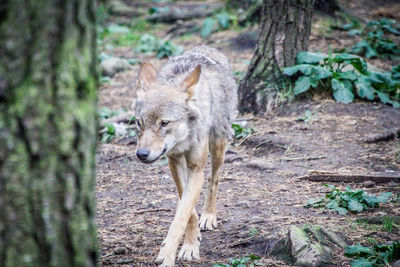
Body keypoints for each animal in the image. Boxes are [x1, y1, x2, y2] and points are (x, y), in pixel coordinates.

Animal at [133, 45, 239, 266]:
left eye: (164, 123)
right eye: (139, 122)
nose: (142, 154)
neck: (183, 139)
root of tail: (208, 47)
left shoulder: (196, 169)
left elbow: (181, 217)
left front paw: (170, 254)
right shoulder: (174, 161)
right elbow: (187, 210)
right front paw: (191, 242)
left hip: (218, 145)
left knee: (214, 178)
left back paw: (208, 216)